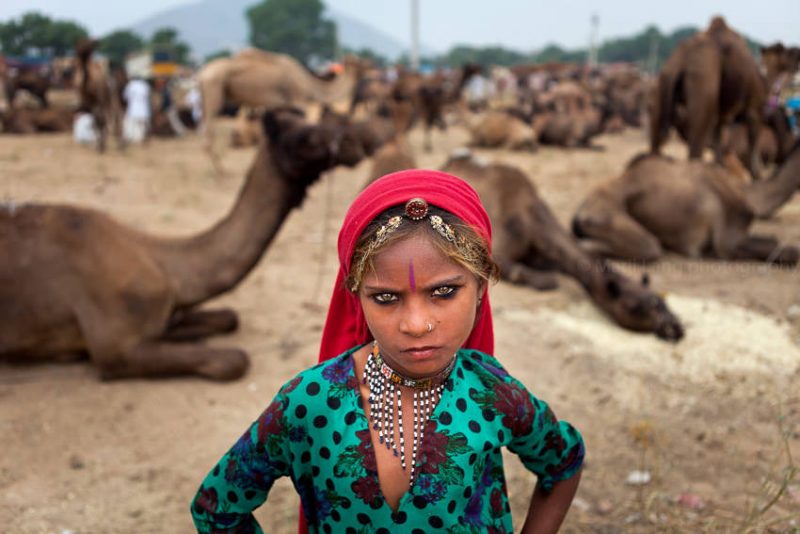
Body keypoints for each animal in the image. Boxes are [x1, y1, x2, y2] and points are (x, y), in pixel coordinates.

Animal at [0, 108, 368, 382]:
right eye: (304, 137)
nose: (354, 142)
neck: (163, 263)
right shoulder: (115, 348)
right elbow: (235, 359)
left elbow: (229, 317)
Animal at [197, 48, 362, 171]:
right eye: (363, 64)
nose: (369, 68)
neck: (308, 84)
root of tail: (202, 74)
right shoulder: (297, 100)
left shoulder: (279, 106)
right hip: (214, 89)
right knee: (208, 134)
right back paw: (220, 172)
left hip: (206, 96)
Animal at [568, 142, 800, 266]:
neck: (752, 195)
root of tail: (579, 212)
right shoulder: (727, 243)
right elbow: (787, 252)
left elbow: (773, 241)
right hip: (605, 214)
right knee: (648, 246)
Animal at [648, 17, 768, 180]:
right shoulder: (754, 104)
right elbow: (752, 132)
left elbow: (718, 140)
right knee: (695, 147)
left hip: (664, 81)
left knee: (656, 142)